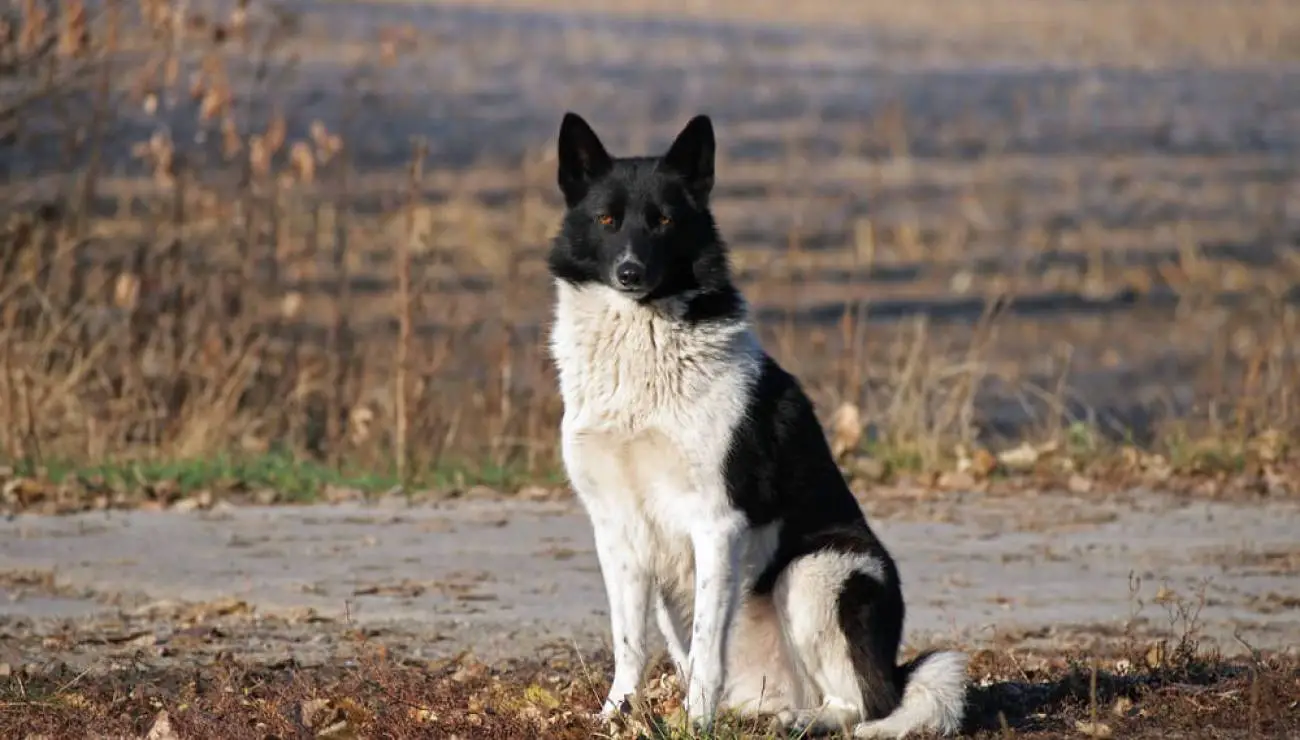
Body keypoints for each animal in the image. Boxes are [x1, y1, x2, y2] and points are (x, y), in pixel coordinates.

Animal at [540, 112, 967, 733]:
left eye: (664, 220)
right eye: (606, 220)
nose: (630, 272)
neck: (645, 343)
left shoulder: (717, 524)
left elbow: (705, 651)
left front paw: (692, 725)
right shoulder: (616, 528)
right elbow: (628, 643)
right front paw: (618, 715)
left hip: (818, 572)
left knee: (864, 705)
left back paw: (799, 721)